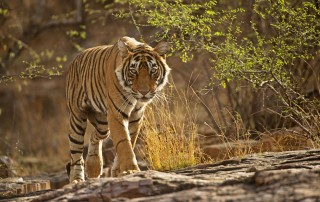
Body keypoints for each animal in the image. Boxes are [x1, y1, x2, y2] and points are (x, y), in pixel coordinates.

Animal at [64, 36, 170, 183]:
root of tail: (75, 60)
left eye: (153, 70)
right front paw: (131, 170)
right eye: (133, 71)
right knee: (76, 153)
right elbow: (124, 142)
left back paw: (93, 166)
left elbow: (130, 140)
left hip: (103, 124)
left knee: (94, 136)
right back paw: (77, 179)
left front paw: (119, 171)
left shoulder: (136, 116)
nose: (144, 92)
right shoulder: (116, 114)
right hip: (77, 118)